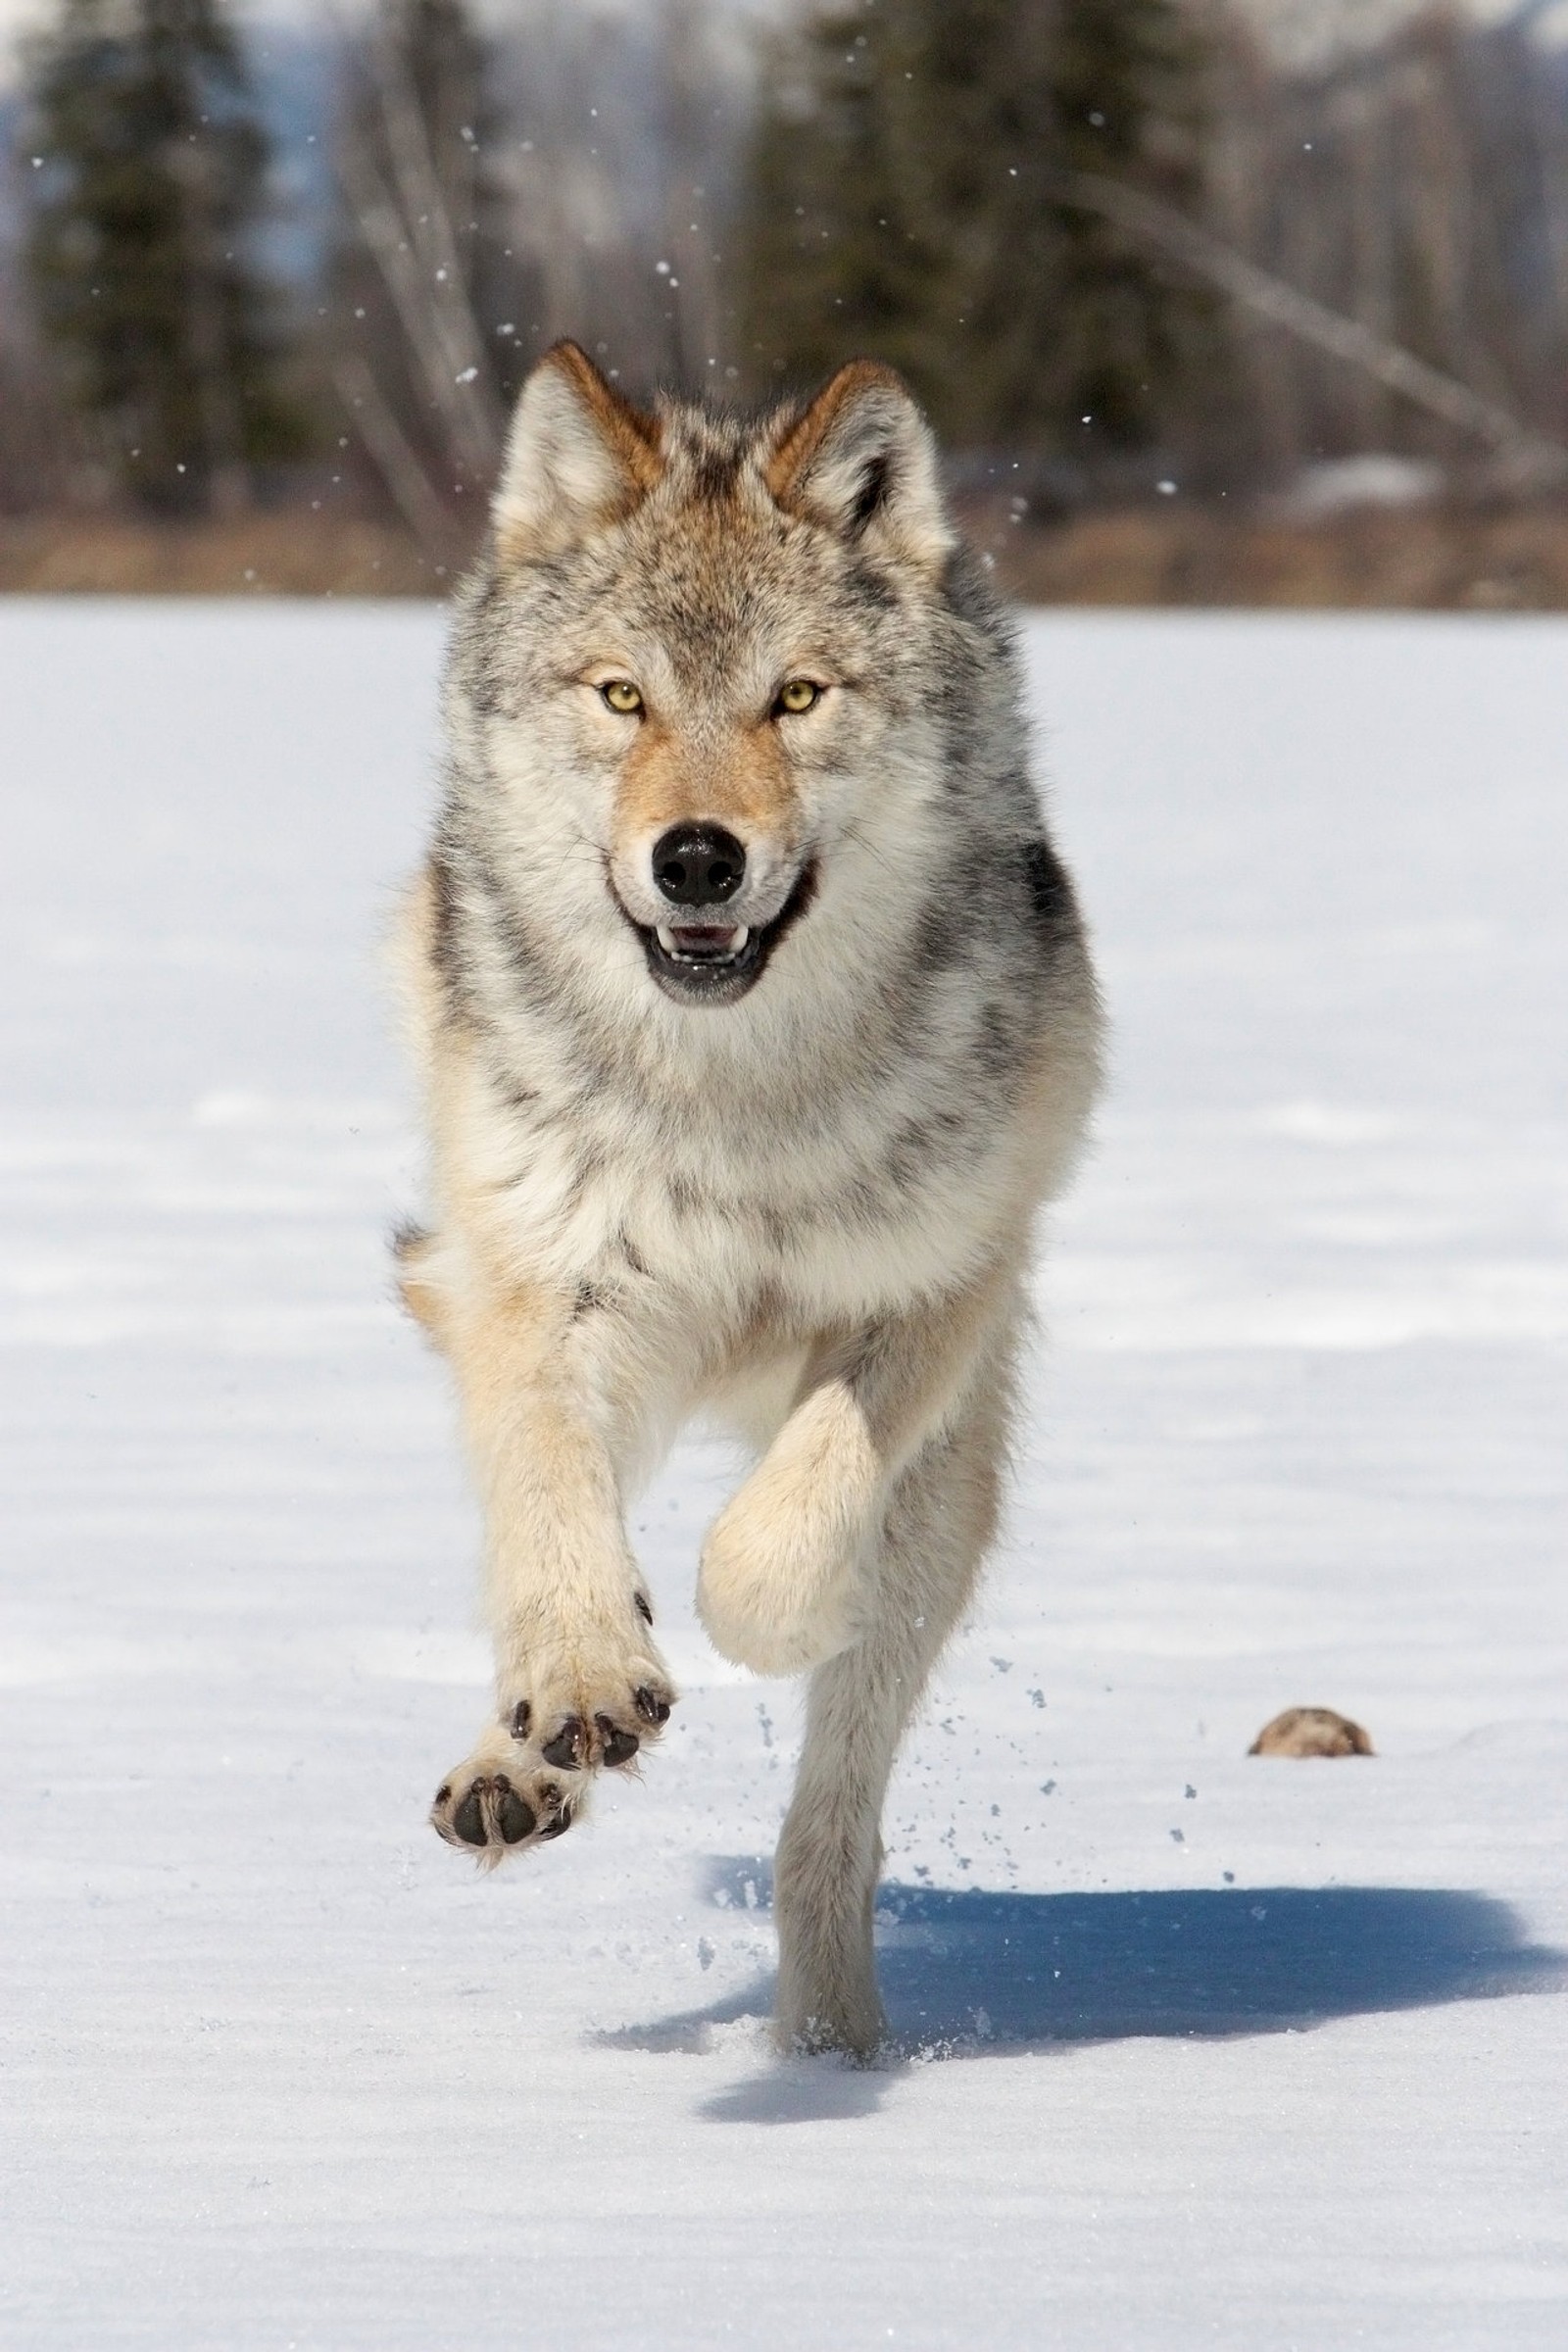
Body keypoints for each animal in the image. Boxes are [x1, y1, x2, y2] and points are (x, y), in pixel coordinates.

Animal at [392, 336, 1104, 2060]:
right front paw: (583, 1689)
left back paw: (829, 2047)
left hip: (944, 1507)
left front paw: (768, 1611)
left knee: (830, 1824)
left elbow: (779, 1536)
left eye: (795, 696)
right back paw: (523, 1763)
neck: (737, 1106)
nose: (699, 859)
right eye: (623, 696)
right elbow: (551, 1513)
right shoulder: (543, 1290)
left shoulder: (940, 1288)